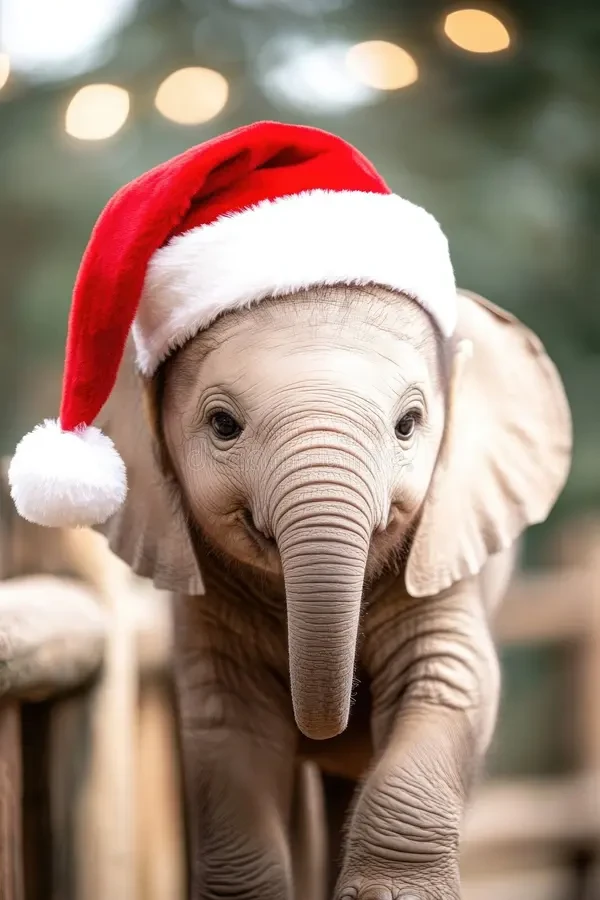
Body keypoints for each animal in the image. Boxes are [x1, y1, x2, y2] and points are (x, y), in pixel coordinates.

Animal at [95, 282, 571, 900]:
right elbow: (231, 729)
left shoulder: (442, 554)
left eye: (408, 424)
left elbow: (446, 680)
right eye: (223, 424)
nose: (333, 725)